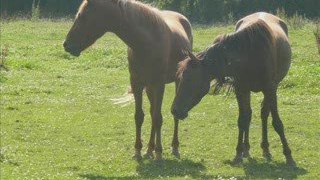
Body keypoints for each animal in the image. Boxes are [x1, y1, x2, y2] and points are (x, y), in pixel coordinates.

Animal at [63, 0, 191, 160]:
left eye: (82, 16)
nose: (66, 44)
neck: (147, 42)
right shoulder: (137, 84)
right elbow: (139, 116)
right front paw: (138, 150)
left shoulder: (159, 84)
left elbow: (158, 118)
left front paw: (159, 152)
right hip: (149, 88)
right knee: (152, 112)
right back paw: (149, 149)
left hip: (174, 82)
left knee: (173, 115)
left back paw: (174, 146)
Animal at [171, 12, 296, 167]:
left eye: (188, 79)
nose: (174, 110)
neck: (250, 55)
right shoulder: (241, 89)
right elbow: (242, 120)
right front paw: (238, 153)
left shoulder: (270, 89)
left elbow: (277, 123)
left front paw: (288, 155)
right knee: (250, 114)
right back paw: (247, 149)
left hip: (271, 88)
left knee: (264, 114)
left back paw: (265, 149)